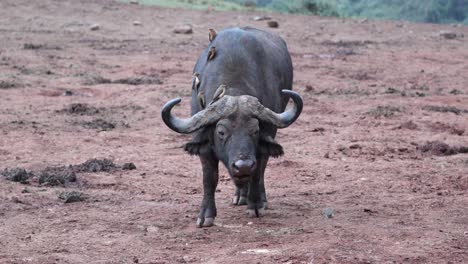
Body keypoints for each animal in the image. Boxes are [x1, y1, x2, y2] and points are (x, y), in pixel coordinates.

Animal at [162, 26, 304, 227]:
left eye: (255, 131)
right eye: (221, 132)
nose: (243, 166)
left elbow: (258, 171)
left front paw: (255, 205)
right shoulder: (204, 145)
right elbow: (209, 178)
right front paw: (206, 215)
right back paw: (240, 195)